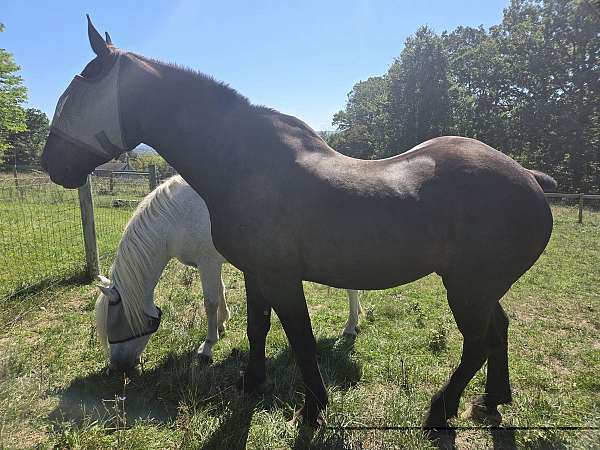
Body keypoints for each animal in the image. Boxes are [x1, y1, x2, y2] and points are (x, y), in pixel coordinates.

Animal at [94, 174, 360, 368]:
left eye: (114, 325)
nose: (117, 366)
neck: (176, 218)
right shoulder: (213, 262)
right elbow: (220, 292)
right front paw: (222, 324)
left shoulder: (207, 262)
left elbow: (210, 302)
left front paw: (208, 346)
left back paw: (349, 327)